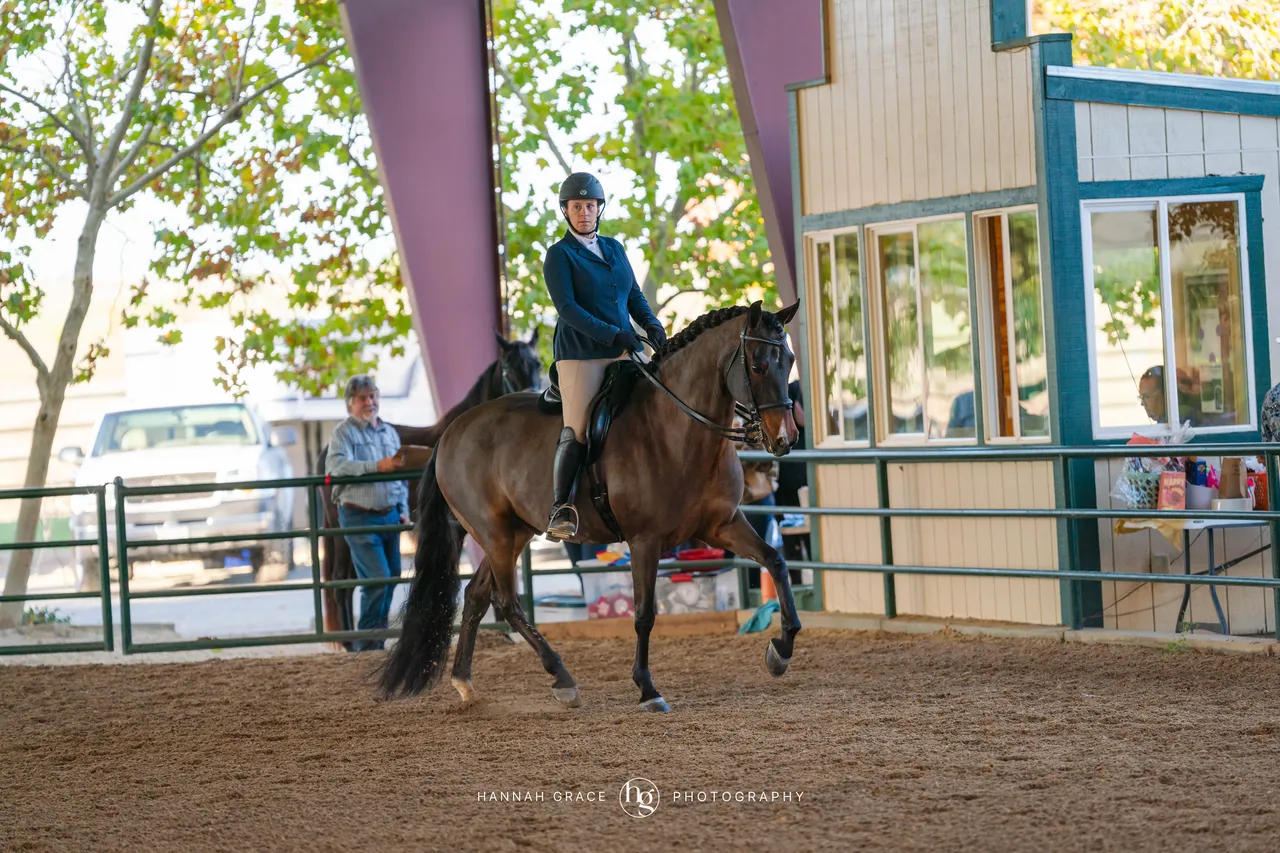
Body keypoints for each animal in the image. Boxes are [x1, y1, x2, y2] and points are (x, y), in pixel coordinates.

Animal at [317, 332, 542, 647]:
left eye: (537, 363)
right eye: (508, 368)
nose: (532, 395)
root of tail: (326, 449)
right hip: (343, 532)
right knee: (341, 583)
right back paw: (351, 643)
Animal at [379, 301, 801, 711]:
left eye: (790, 360)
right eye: (758, 365)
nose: (785, 438)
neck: (677, 428)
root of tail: (451, 432)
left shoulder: (722, 524)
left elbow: (776, 561)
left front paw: (781, 650)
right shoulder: (644, 540)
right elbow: (644, 613)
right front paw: (647, 688)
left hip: (514, 533)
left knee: (477, 596)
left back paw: (465, 682)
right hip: (493, 533)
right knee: (507, 602)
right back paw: (562, 677)